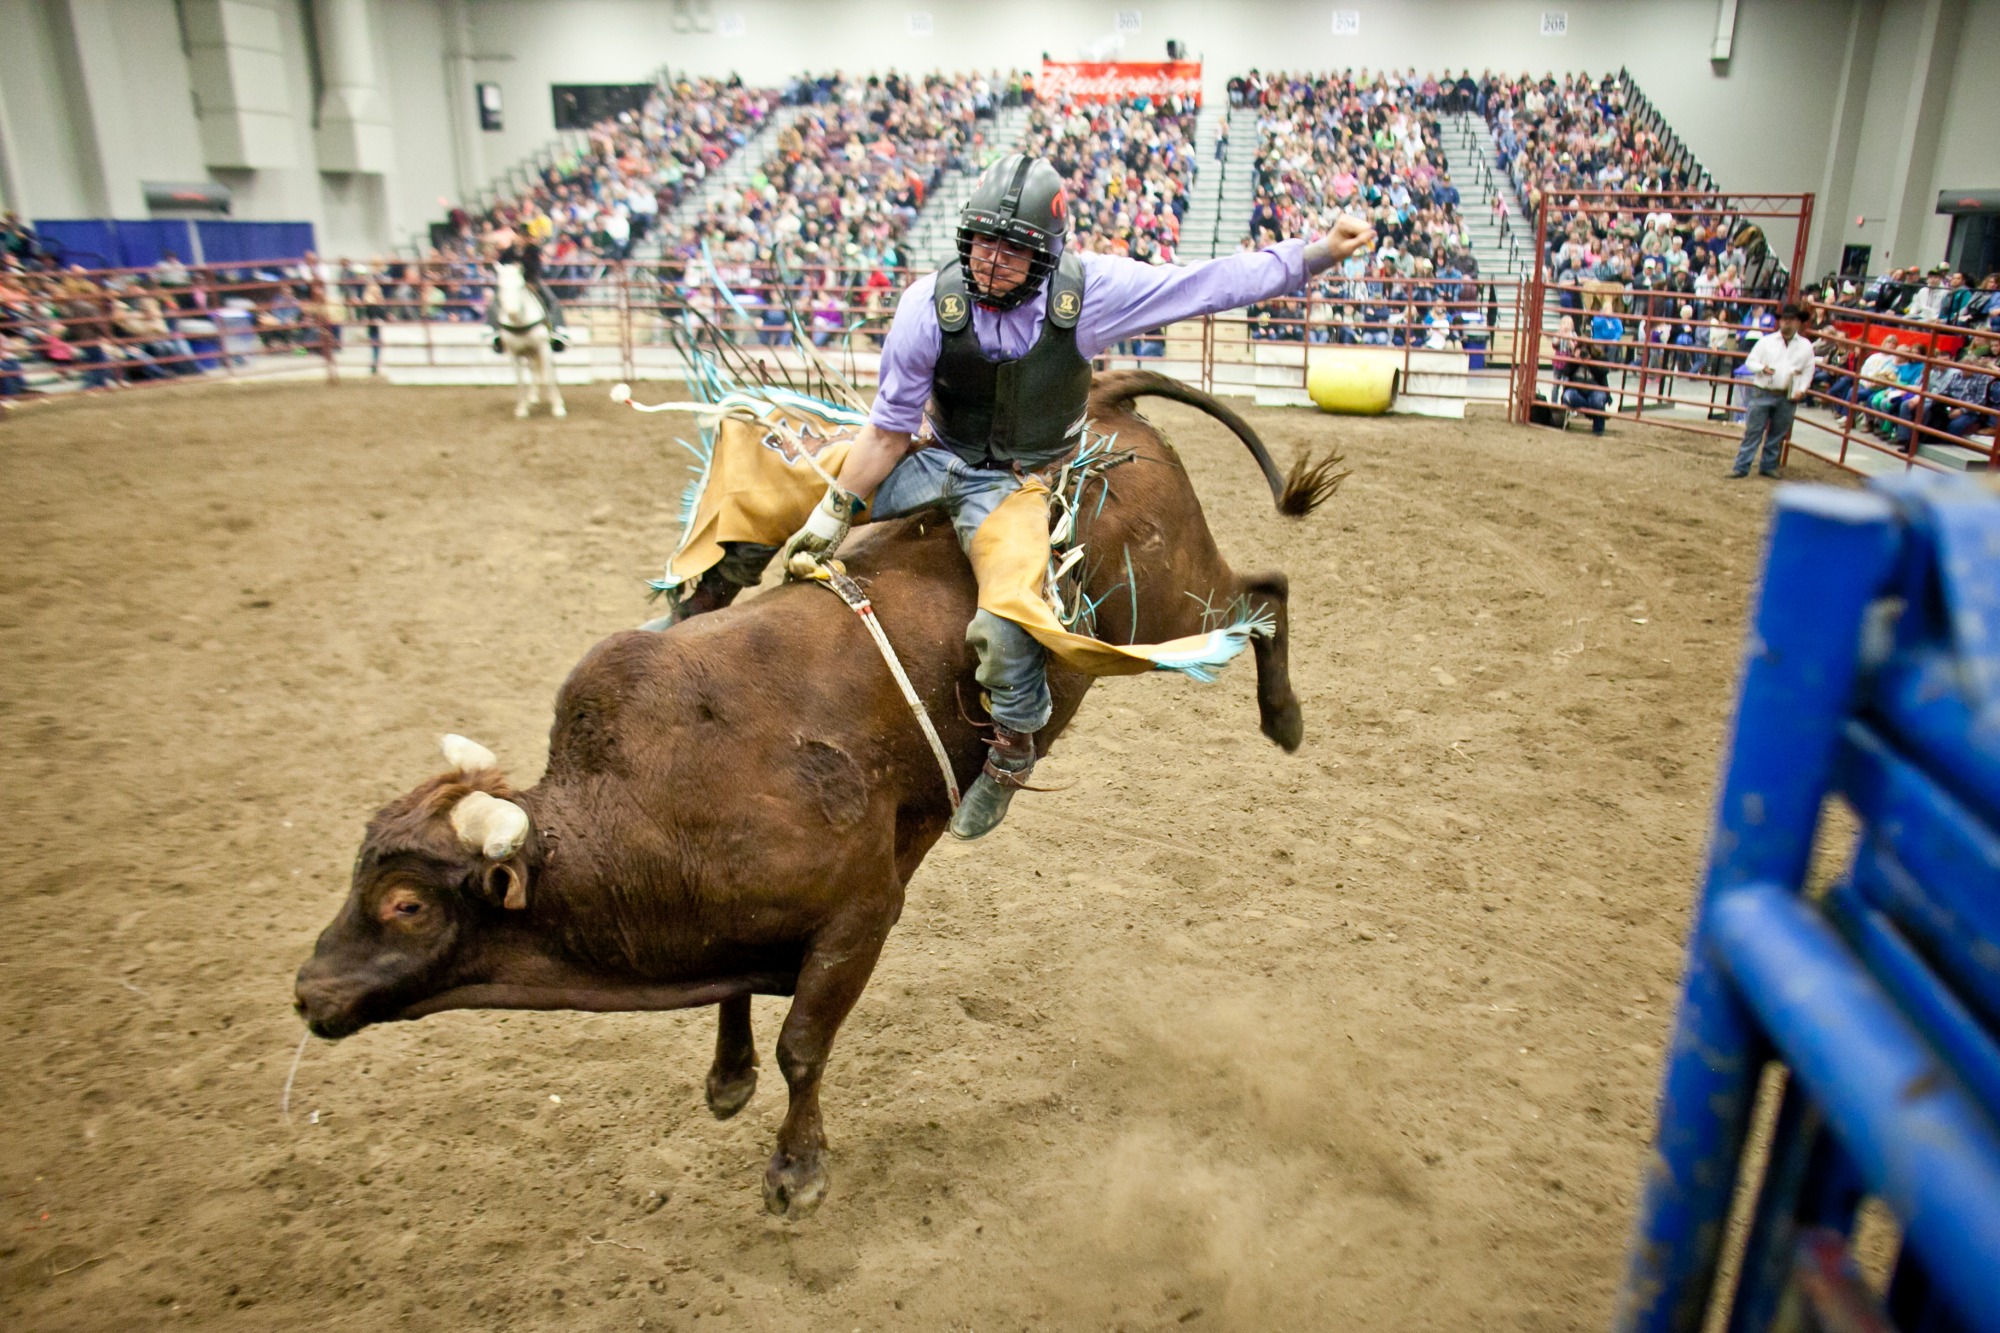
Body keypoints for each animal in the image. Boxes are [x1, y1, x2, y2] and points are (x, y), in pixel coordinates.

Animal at [292, 370, 1344, 1216]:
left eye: (405, 902)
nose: (308, 992)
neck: (646, 806)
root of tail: (1103, 403)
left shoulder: (862, 916)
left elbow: (804, 1041)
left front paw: (797, 1169)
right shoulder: (731, 924)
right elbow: (737, 996)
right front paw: (727, 1077)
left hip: (1173, 601)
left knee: (1266, 591)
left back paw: (1285, 716)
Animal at [490, 262, 564, 418]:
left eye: (520, 286)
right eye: (500, 286)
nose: (512, 313)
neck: (520, 323)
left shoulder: (543, 347)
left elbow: (549, 376)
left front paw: (558, 408)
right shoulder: (514, 353)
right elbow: (520, 381)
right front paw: (522, 409)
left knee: (550, 371)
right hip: (529, 353)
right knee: (533, 370)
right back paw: (531, 398)